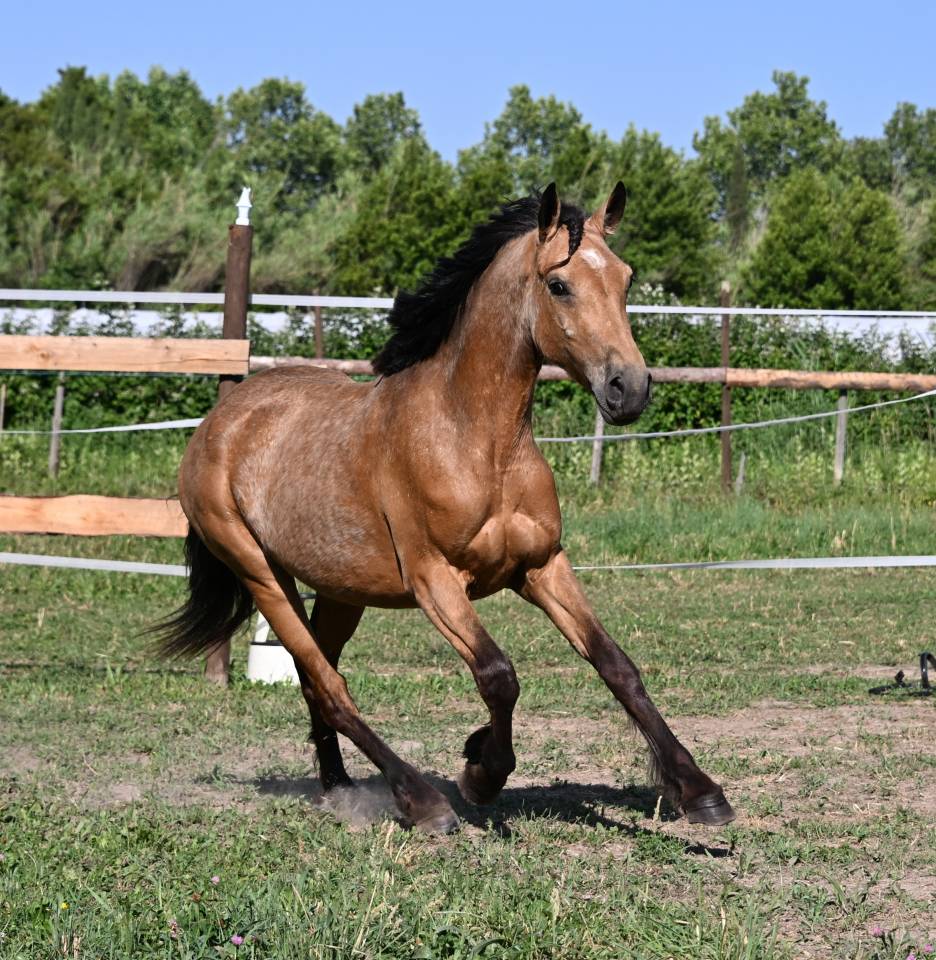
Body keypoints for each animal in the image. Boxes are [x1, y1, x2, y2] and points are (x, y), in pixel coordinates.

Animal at [156, 183, 735, 833]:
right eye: (559, 284)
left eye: (626, 278)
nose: (628, 389)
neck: (477, 441)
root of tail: (220, 422)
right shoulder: (436, 580)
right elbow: (499, 676)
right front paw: (481, 771)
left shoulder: (543, 567)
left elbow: (617, 666)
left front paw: (701, 791)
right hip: (262, 576)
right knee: (330, 685)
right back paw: (420, 800)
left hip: (340, 590)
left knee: (314, 682)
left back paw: (339, 789)